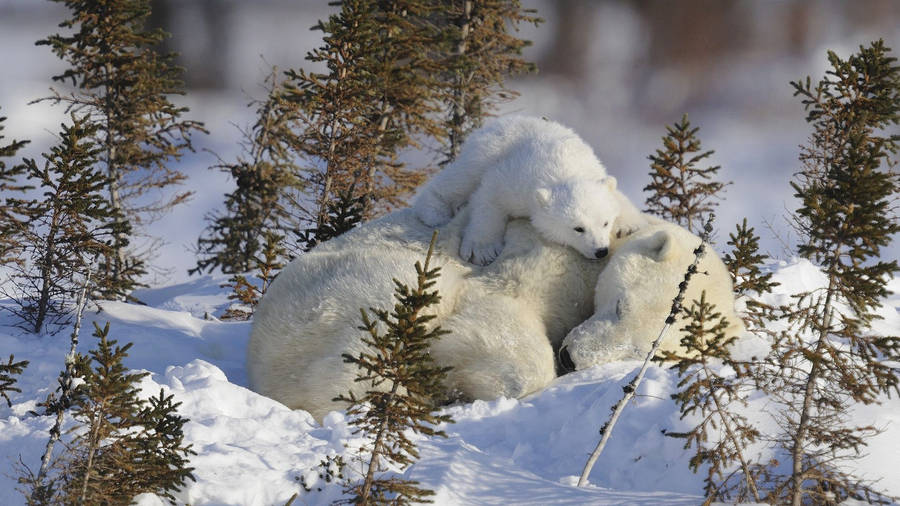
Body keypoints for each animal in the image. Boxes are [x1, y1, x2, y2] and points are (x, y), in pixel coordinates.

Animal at [413, 115, 643, 265]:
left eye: (605, 222)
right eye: (578, 228)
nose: (601, 251)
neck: (565, 169)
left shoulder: (594, 170)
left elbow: (616, 196)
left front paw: (628, 224)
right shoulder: (514, 179)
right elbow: (489, 197)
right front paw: (483, 250)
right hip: (486, 150)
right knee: (461, 178)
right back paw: (434, 211)